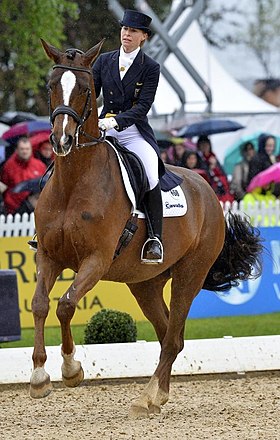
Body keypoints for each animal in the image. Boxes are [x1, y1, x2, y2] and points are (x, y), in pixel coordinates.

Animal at [29, 38, 264, 420]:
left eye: (85, 89)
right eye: (51, 86)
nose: (61, 140)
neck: (73, 182)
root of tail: (208, 189)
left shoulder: (95, 261)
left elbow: (65, 304)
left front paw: (71, 369)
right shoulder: (49, 256)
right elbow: (39, 305)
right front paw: (38, 377)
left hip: (189, 275)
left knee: (173, 336)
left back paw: (146, 397)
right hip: (146, 284)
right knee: (169, 332)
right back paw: (156, 396)